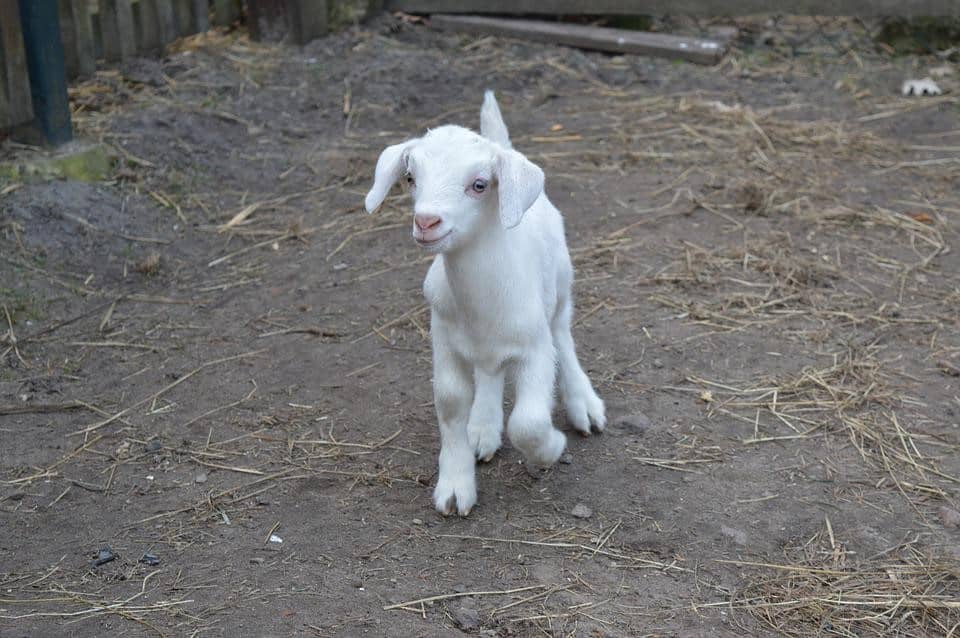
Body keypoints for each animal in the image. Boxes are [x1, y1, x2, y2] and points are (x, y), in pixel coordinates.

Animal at [364, 91, 604, 520]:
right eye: (411, 178)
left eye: (478, 184)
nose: (426, 222)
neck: (482, 298)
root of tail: (507, 149)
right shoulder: (443, 337)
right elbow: (450, 402)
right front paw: (455, 485)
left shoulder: (534, 348)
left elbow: (528, 422)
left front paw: (550, 449)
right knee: (489, 373)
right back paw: (483, 426)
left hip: (561, 285)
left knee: (563, 334)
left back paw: (584, 404)